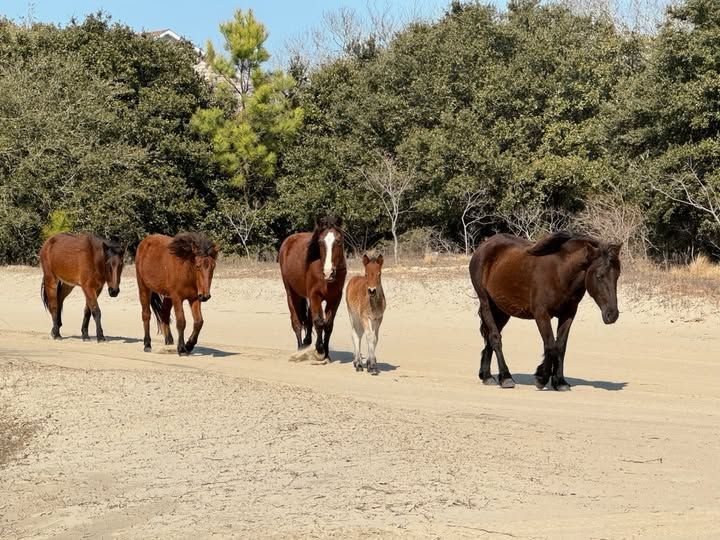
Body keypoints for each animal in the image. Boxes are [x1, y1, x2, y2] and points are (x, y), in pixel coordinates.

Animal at [278, 216, 347, 360]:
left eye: (338, 241)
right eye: (320, 242)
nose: (328, 273)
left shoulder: (335, 298)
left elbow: (328, 325)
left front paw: (326, 353)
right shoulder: (315, 295)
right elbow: (319, 322)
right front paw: (319, 351)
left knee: (309, 319)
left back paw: (306, 342)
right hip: (292, 293)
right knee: (297, 322)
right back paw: (300, 349)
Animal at [469, 231, 621, 391]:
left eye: (617, 275)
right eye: (599, 276)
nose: (612, 314)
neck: (560, 272)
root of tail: (484, 246)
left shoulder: (568, 314)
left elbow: (560, 346)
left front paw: (560, 381)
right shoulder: (541, 314)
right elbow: (550, 345)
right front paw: (542, 377)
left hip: (502, 310)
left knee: (490, 339)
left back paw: (486, 376)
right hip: (486, 304)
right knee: (495, 338)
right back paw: (505, 377)